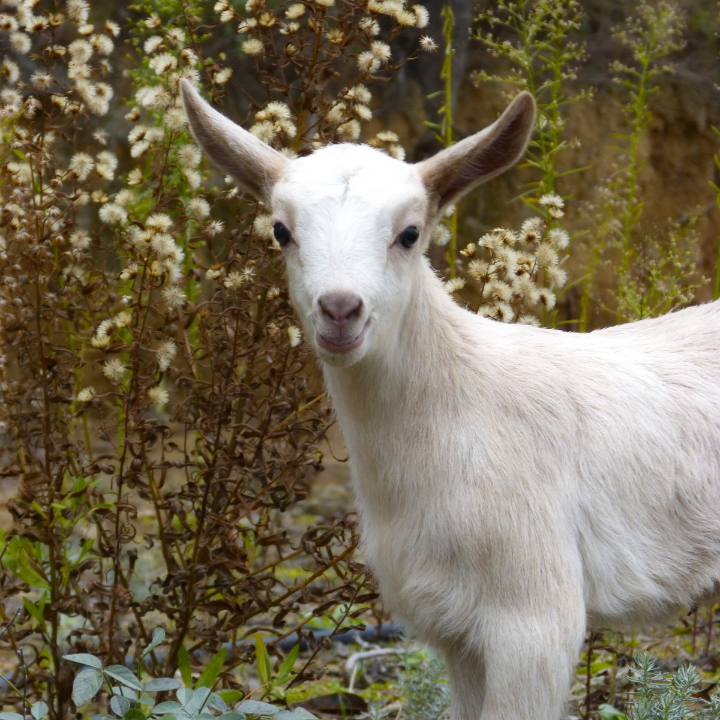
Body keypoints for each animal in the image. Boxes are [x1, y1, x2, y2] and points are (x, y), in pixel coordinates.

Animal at [180, 78, 720, 720]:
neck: (459, 406)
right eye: (281, 231)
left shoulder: (534, 613)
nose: (340, 310)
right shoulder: (456, 632)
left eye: (410, 233)